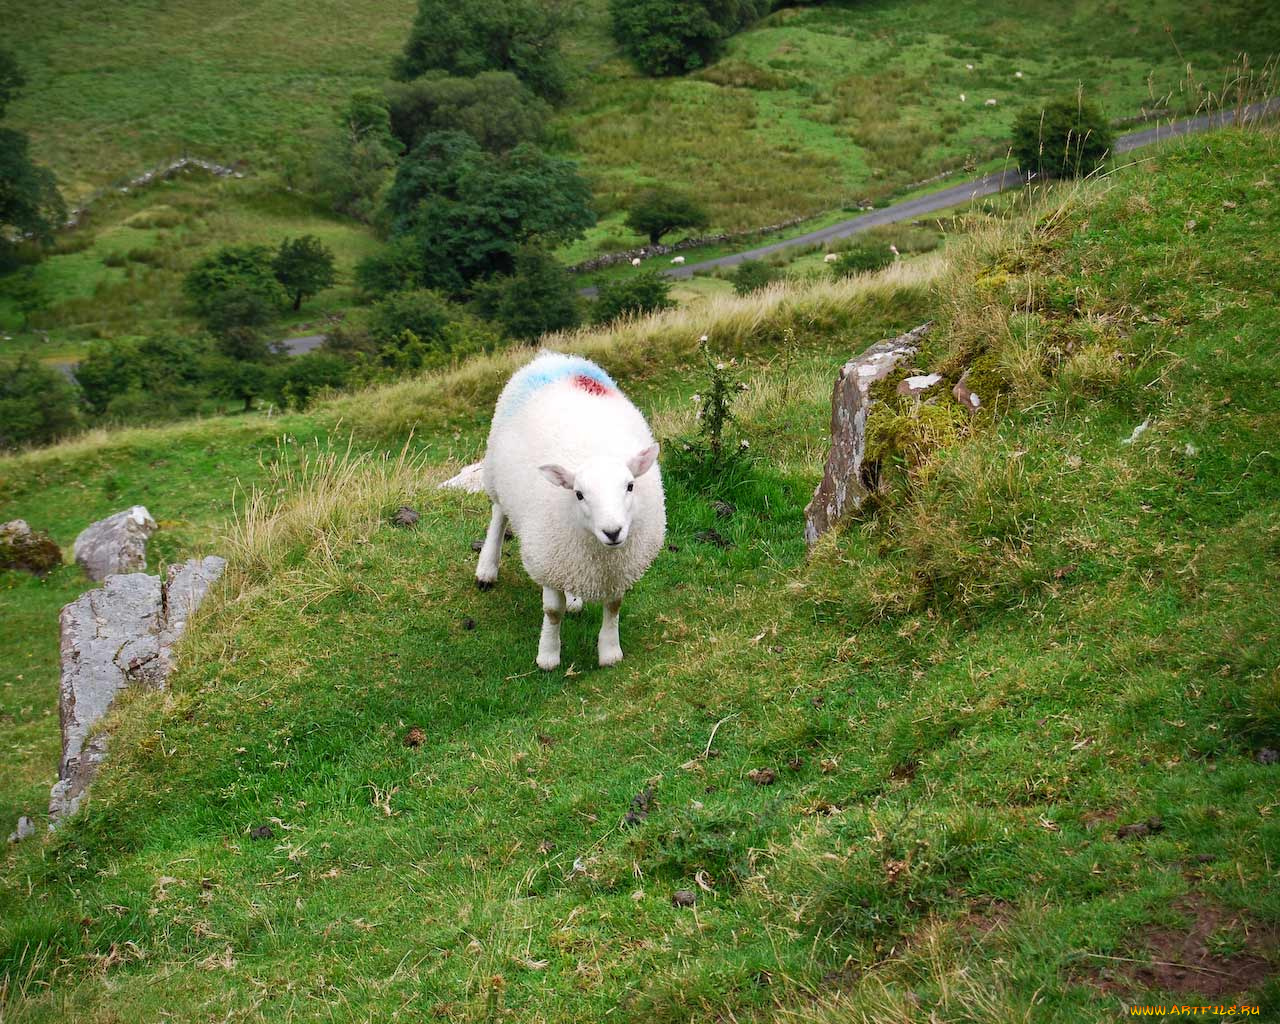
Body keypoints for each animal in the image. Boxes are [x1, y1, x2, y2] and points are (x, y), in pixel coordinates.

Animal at [476, 353, 665, 670]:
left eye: (630, 486)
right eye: (578, 494)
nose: (613, 532)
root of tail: (553, 357)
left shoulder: (618, 567)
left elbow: (614, 605)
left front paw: (610, 652)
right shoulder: (548, 559)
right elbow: (553, 611)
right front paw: (548, 656)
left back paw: (575, 598)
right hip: (496, 474)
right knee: (499, 515)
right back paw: (487, 569)